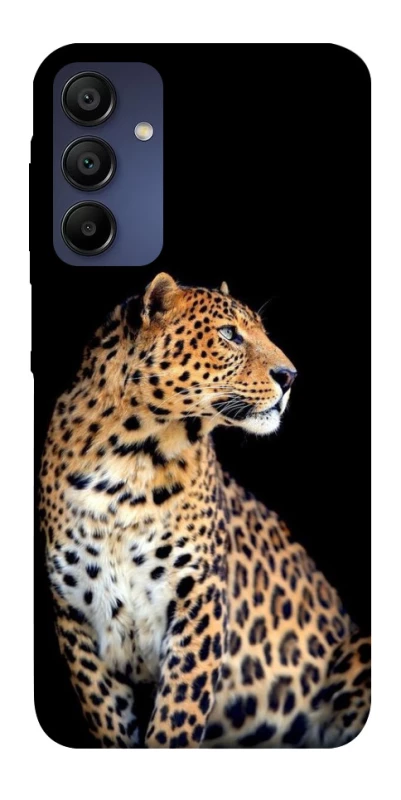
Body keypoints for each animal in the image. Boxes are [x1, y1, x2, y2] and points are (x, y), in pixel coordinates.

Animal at [39, 272, 371, 748]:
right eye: (229, 334)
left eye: (262, 331)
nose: (290, 376)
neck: (129, 461)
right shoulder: (75, 617)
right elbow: (110, 721)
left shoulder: (199, 598)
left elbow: (176, 718)